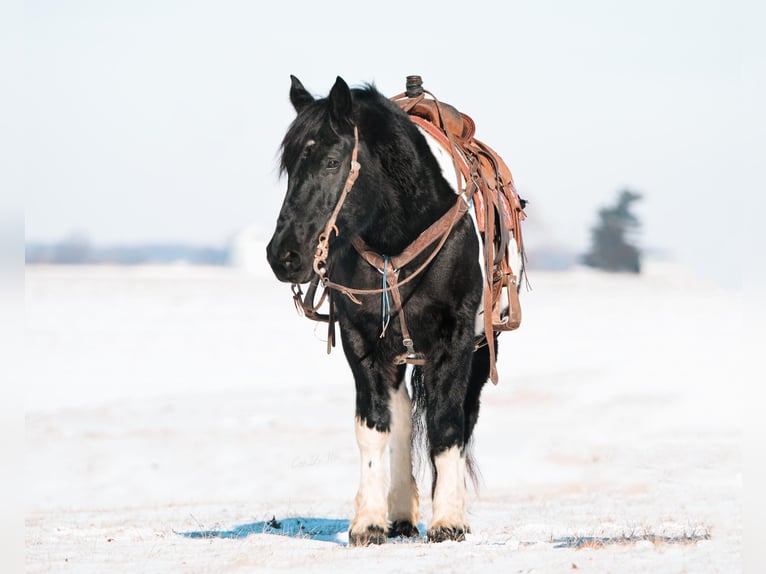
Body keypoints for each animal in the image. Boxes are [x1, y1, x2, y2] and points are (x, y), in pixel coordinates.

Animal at [267, 75, 522, 545]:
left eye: (332, 161)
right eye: (290, 166)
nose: (283, 256)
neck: (399, 234)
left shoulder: (456, 338)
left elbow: (446, 424)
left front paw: (449, 520)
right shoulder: (363, 340)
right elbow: (374, 426)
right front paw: (368, 522)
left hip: (481, 349)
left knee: (463, 416)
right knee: (402, 414)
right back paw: (401, 513)